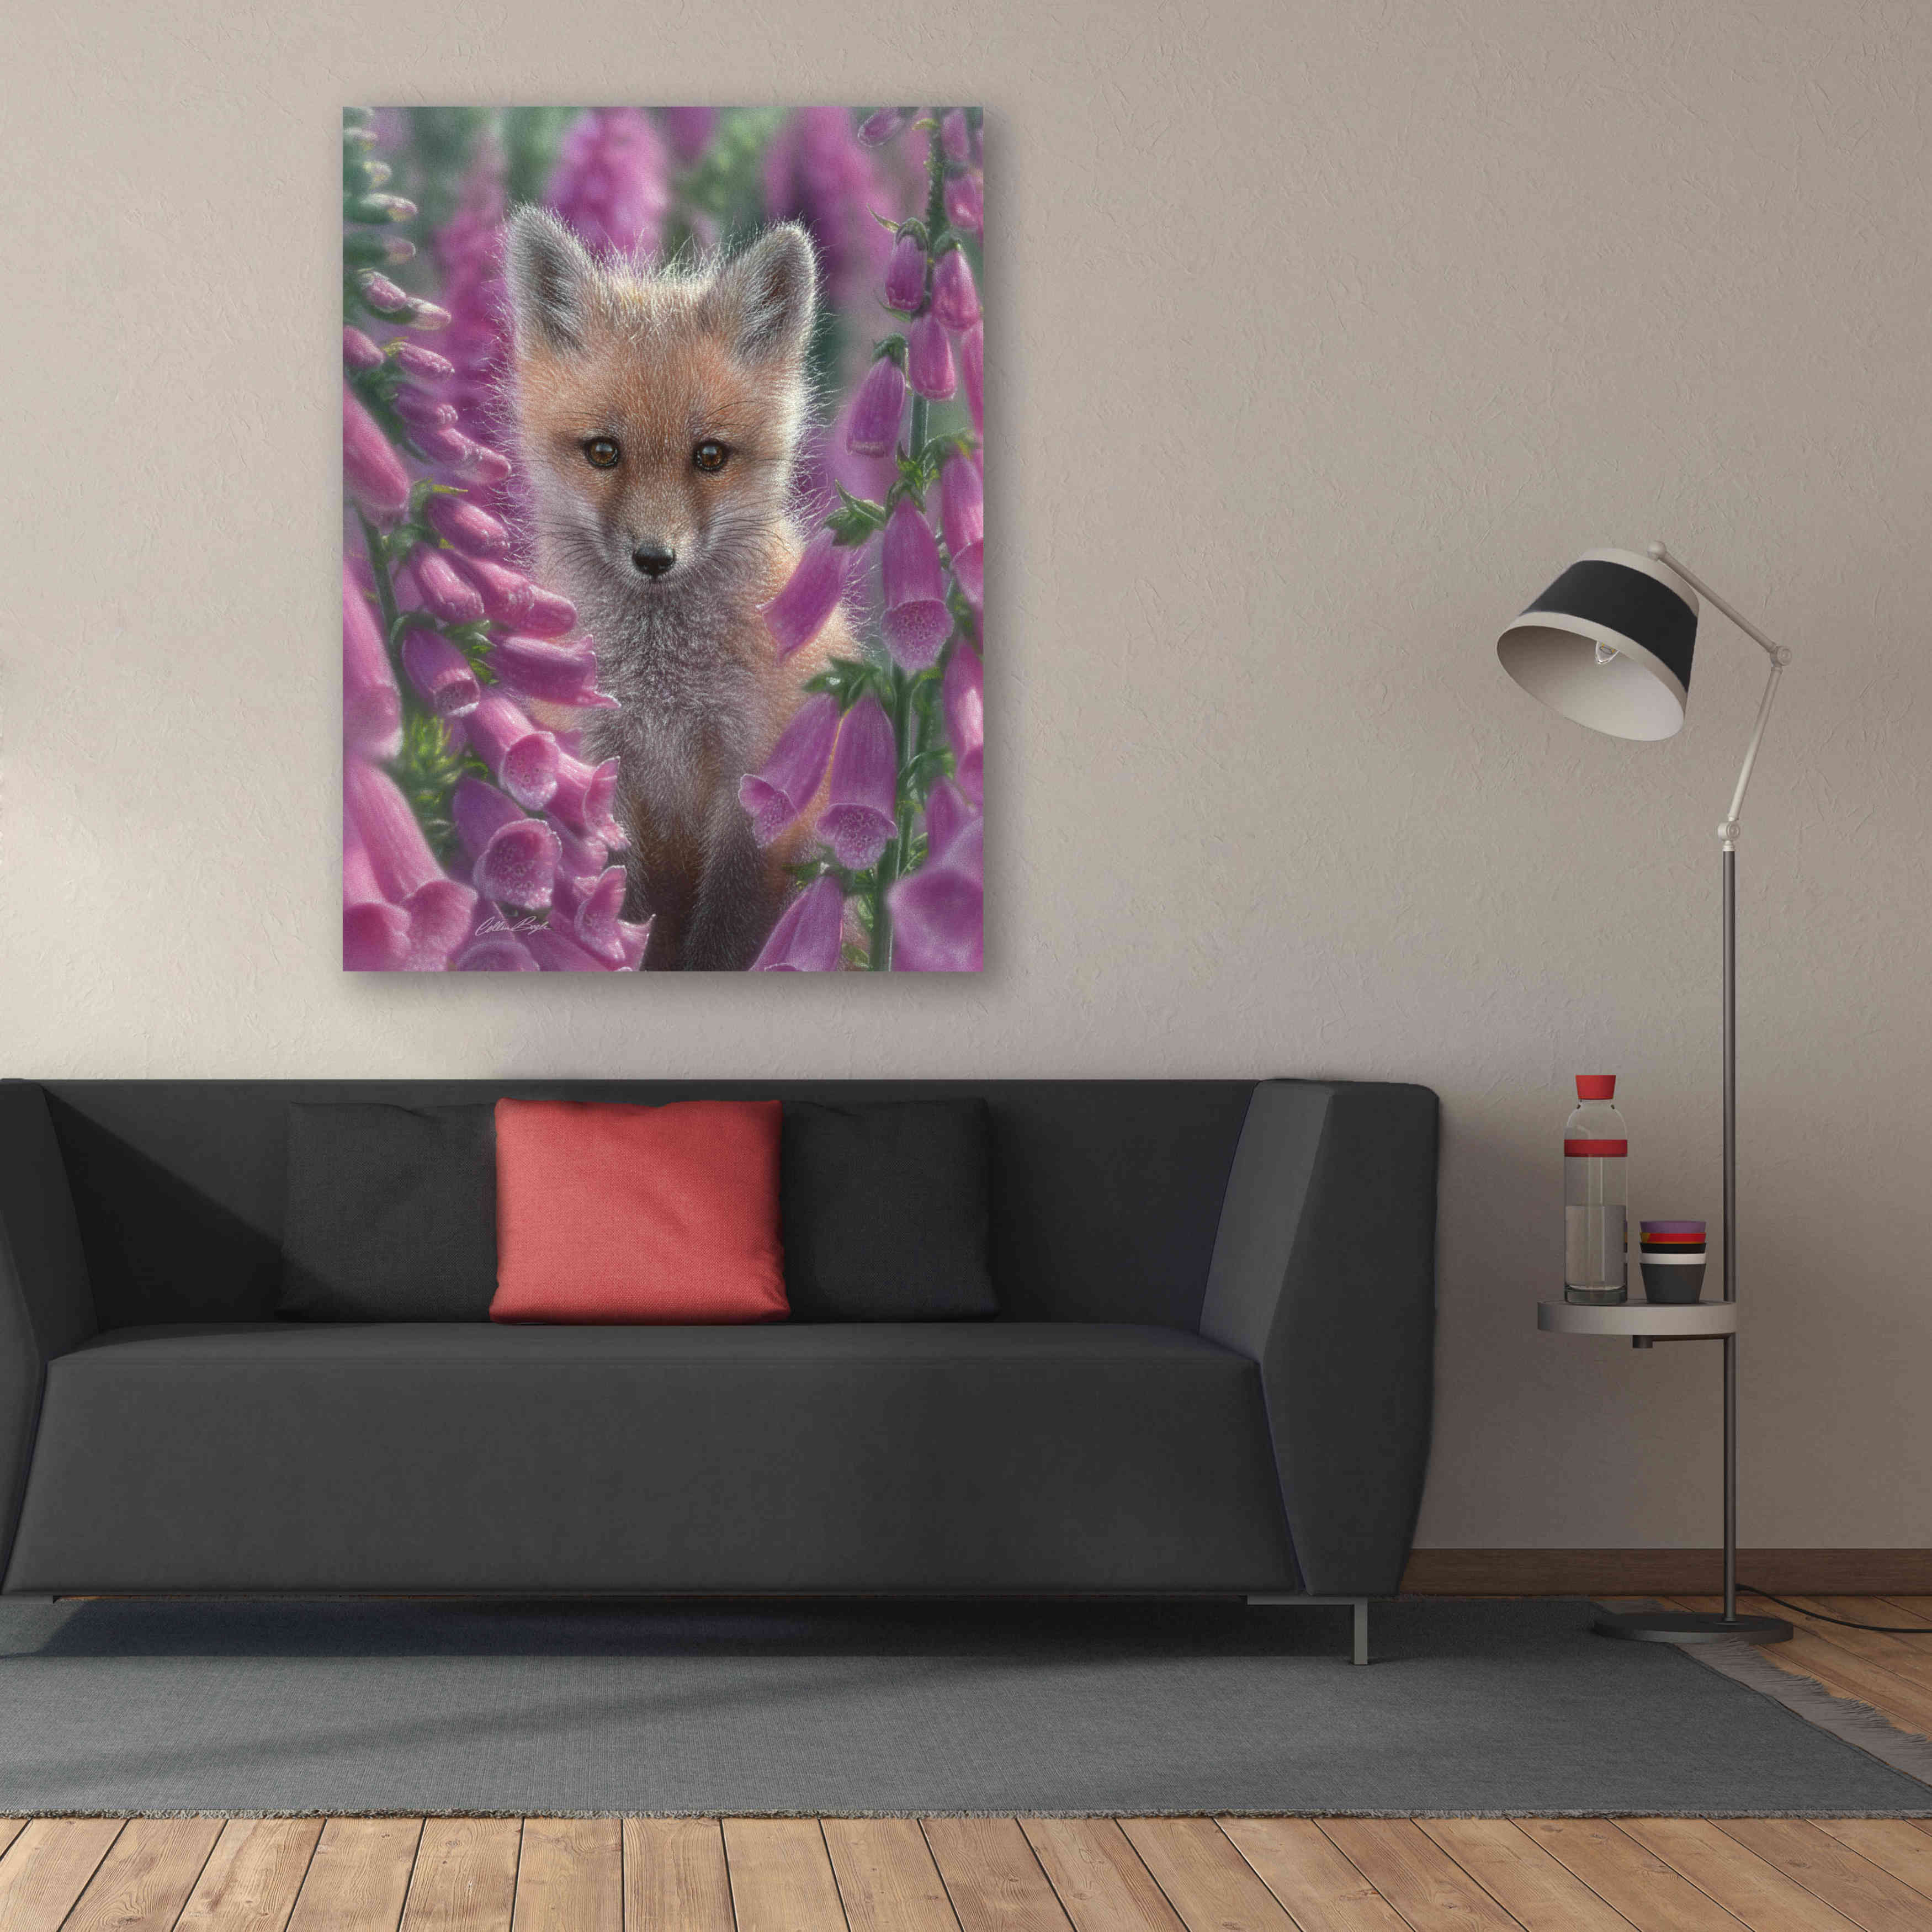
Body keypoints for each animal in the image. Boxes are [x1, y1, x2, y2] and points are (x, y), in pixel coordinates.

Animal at [502, 208, 852, 970]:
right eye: (604, 452)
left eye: (710, 456)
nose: (654, 558)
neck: (663, 694)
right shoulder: (597, 768)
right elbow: (619, 907)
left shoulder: (755, 780)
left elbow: (726, 930)